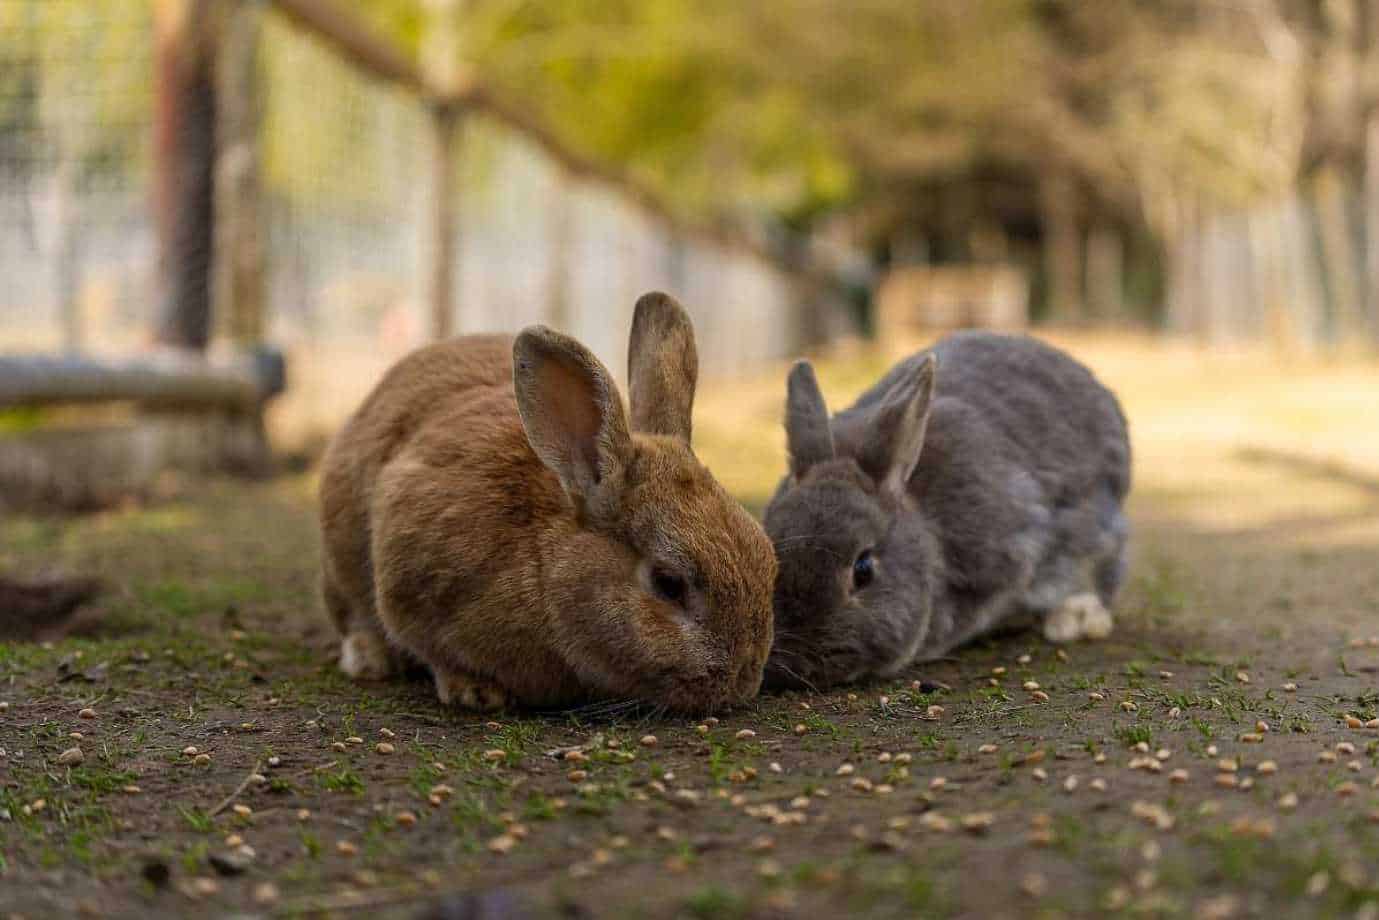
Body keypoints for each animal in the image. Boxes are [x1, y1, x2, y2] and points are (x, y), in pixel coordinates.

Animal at [315, 293, 783, 711]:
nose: (743, 680)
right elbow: (426, 643)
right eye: (668, 583)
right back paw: (370, 659)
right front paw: (474, 691)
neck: (545, 560)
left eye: (767, 559)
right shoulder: (408, 575)